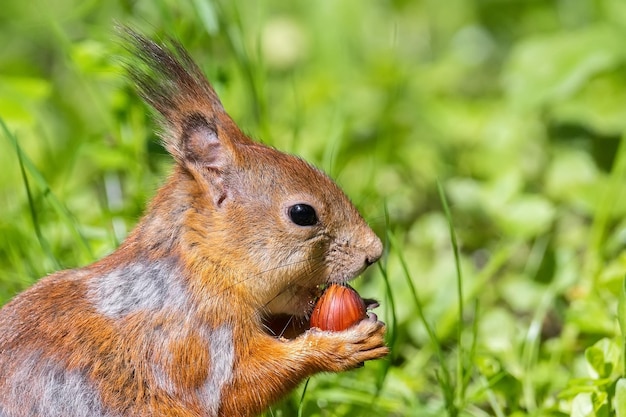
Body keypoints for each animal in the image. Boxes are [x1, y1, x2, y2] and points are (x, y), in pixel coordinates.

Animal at [0, 29, 386, 416]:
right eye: (303, 214)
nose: (375, 252)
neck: (203, 265)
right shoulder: (191, 335)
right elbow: (237, 386)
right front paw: (337, 346)